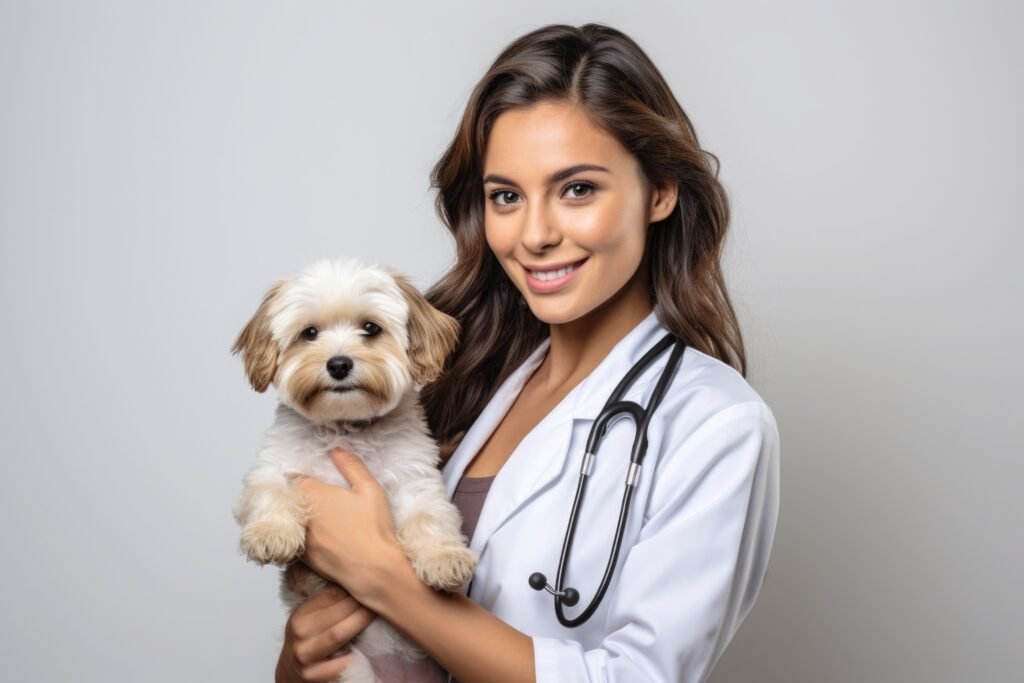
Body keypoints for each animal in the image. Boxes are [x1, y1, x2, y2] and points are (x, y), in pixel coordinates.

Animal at [232, 258, 475, 683]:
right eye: (309, 333)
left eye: (370, 328)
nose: (339, 364)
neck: (347, 428)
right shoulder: (272, 466)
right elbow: (271, 490)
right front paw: (271, 533)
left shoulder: (415, 480)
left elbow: (430, 517)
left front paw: (444, 557)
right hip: (352, 669)